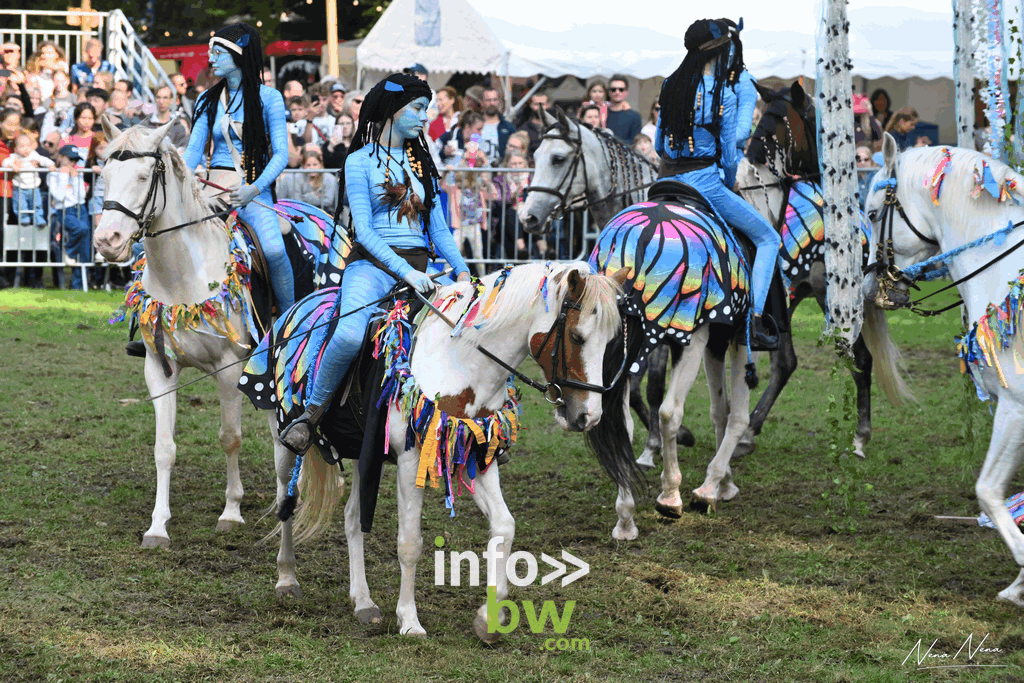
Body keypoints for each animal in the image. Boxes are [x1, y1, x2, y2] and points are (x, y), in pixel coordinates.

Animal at [272, 264, 630, 643]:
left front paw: (490, 617)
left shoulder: (478, 453)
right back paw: (287, 579)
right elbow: (410, 543)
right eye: (576, 336)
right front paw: (409, 620)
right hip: (282, 438)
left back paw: (363, 602)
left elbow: (504, 527)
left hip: (362, 455)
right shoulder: (411, 461)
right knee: (287, 502)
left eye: (611, 343)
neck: (461, 360)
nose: (588, 416)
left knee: (353, 518)